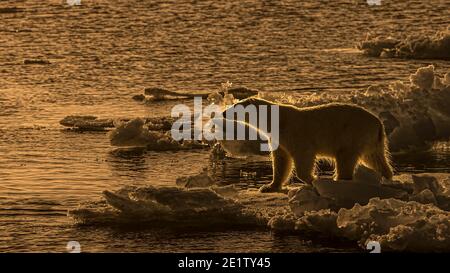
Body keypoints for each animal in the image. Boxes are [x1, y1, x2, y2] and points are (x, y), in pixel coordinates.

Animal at [221, 96, 394, 192]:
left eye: (234, 106)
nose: (222, 112)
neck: (276, 121)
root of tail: (378, 123)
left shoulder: (296, 135)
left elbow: (303, 157)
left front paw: (313, 179)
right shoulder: (278, 139)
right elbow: (281, 161)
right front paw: (269, 187)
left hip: (352, 133)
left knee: (346, 157)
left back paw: (338, 181)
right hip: (372, 140)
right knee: (375, 158)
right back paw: (386, 176)